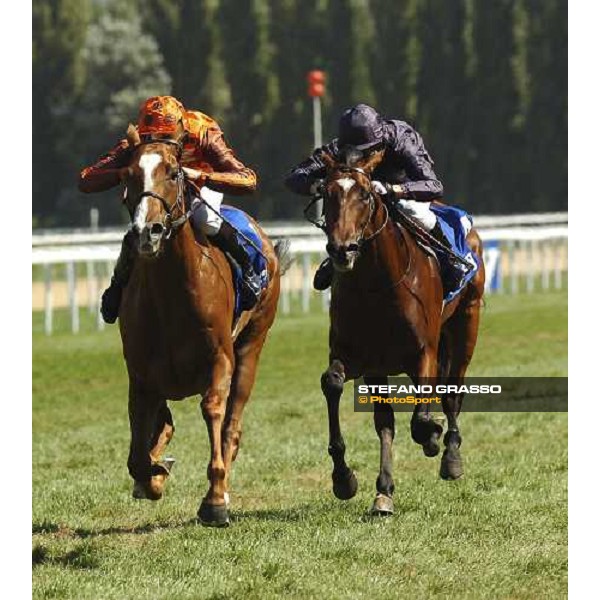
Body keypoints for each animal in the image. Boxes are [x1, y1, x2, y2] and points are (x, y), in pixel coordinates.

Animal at [118, 125, 288, 524]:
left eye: (174, 173)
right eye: (128, 175)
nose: (147, 232)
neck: (171, 296)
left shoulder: (220, 359)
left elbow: (212, 410)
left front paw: (214, 499)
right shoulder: (141, 374)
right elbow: (138, 453)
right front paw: (154, 475)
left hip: (252, 345)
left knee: (232, 427)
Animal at [318, 149, 482, 516]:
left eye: (365, 194)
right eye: (326, 193)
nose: (342, 249)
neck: (378, 285)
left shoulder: (424, 352)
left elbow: (421, 419)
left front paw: (433, 436)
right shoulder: (360, 359)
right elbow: (337, 386)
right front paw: (348, 480)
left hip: (466, 325)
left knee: (453, 392)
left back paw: (450, 455)